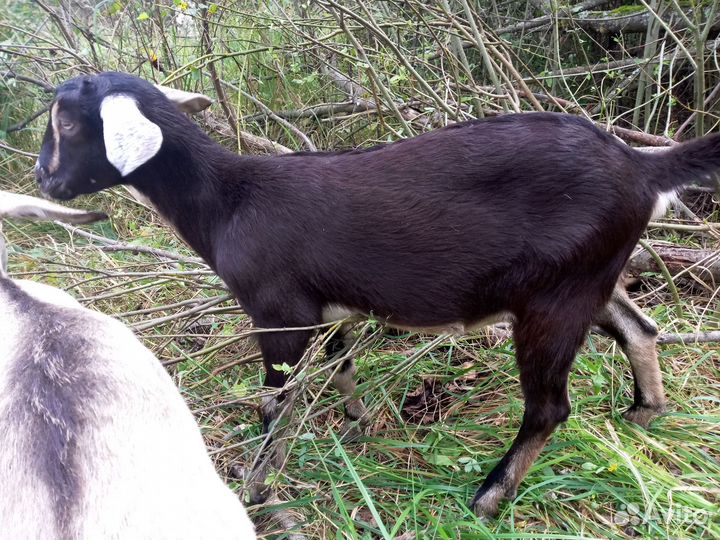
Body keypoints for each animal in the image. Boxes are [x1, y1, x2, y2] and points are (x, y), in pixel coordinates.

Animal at [34, 71, 720, 517]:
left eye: (66, 122)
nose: (43, 178)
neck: (229, 201)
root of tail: (642, 167)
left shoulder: (278, 315)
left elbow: (275, 403)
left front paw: (257, 489)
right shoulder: (327, 311)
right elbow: (341, 366)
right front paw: (359, 427)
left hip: (554, 299)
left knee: (550, 407)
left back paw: (489, 497)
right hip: (588, 279)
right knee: (639, 329)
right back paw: (644, 414)